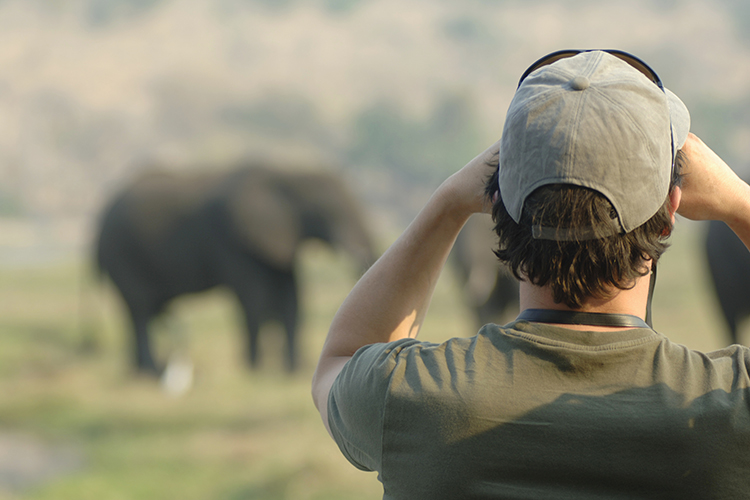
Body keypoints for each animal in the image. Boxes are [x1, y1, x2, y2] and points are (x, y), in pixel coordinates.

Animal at [95, 164, 376, 376]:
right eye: (327, 210)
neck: (285, 173)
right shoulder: (235, 240)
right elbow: (254, 299)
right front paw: (256, 370)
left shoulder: (279, 241)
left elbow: (291, 298)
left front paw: (293, 371)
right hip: (121, 254)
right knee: (140, 310)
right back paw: (151, 372)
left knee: (138, 312)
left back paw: (139, 372)